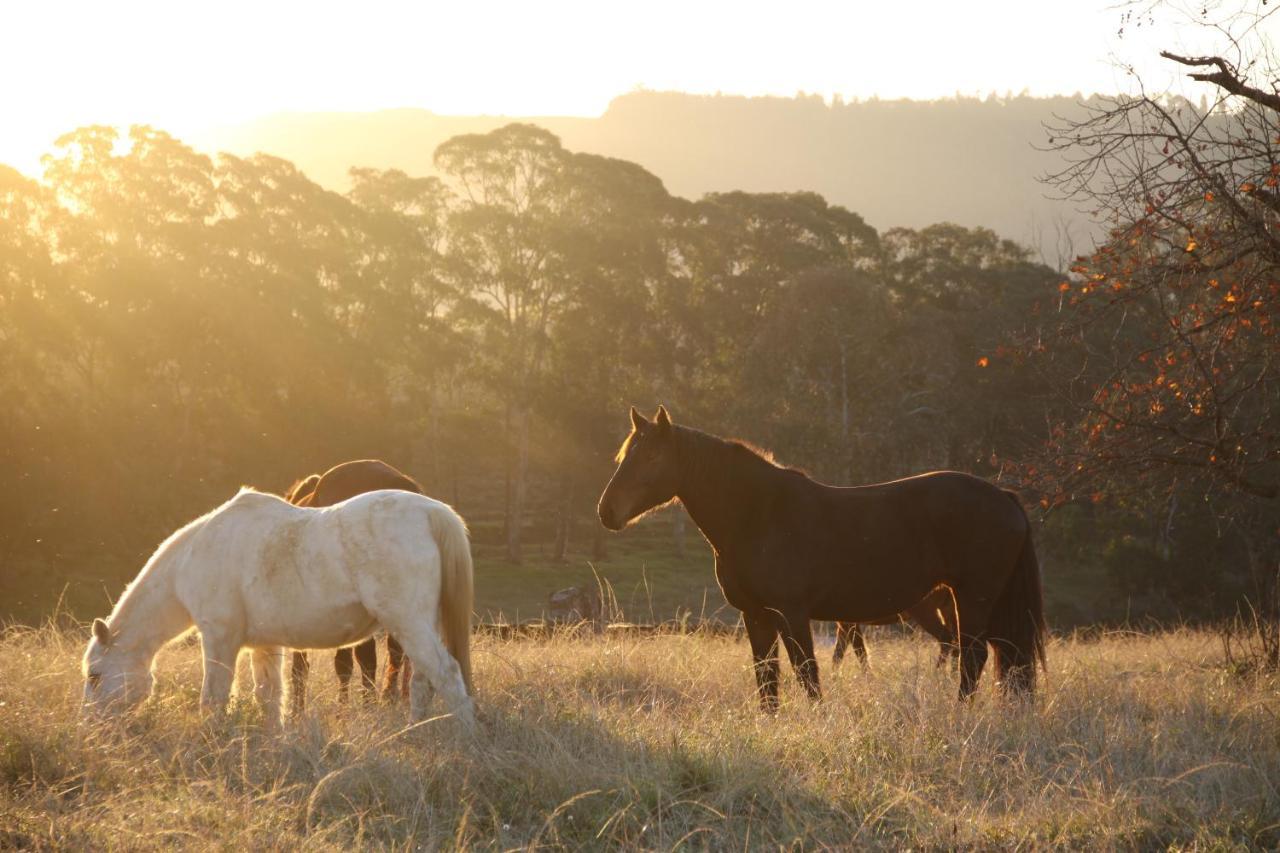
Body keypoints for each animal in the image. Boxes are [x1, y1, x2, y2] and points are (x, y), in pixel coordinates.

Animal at [82, 489, 478, 727]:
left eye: (95, 676)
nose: (90, 729)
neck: (193, 558)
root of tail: (430, 511)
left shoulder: (220, 639)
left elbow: (214, 697)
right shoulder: (265, 645)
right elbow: (270, 698)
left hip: (409, 624)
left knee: (446, 674)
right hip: (420, 627)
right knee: (424, 681)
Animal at [593, 404, 1044, 701]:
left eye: (653, 455)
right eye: (624, 455)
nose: (606, 511)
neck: (759, 514)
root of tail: (1004, 497)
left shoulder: (792, 614)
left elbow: (808, 675)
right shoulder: (756, 616)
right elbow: (767, 680)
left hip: (972, 598)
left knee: (973, 657)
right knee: (1002, 655)